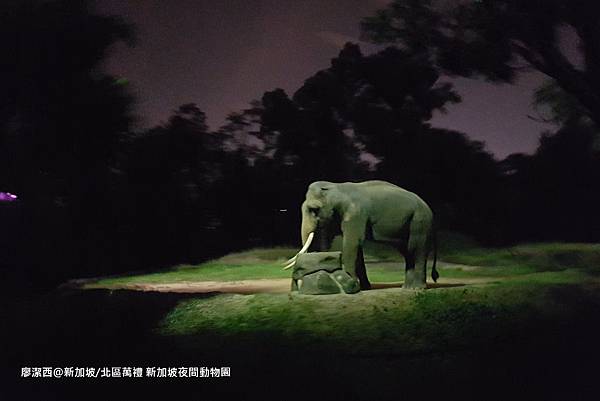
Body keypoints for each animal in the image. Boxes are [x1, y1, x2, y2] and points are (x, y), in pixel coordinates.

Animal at [284, 180, 438, 290]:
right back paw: (406, 288)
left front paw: (353, 284)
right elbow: (355, 247)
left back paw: (417, 289)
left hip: (420, 221)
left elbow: (352, 243)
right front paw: (363, 288)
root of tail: (429, 208)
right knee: (407, 252)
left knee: (417, 249)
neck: (336, 187)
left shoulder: (356, 214)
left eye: (314, 210)